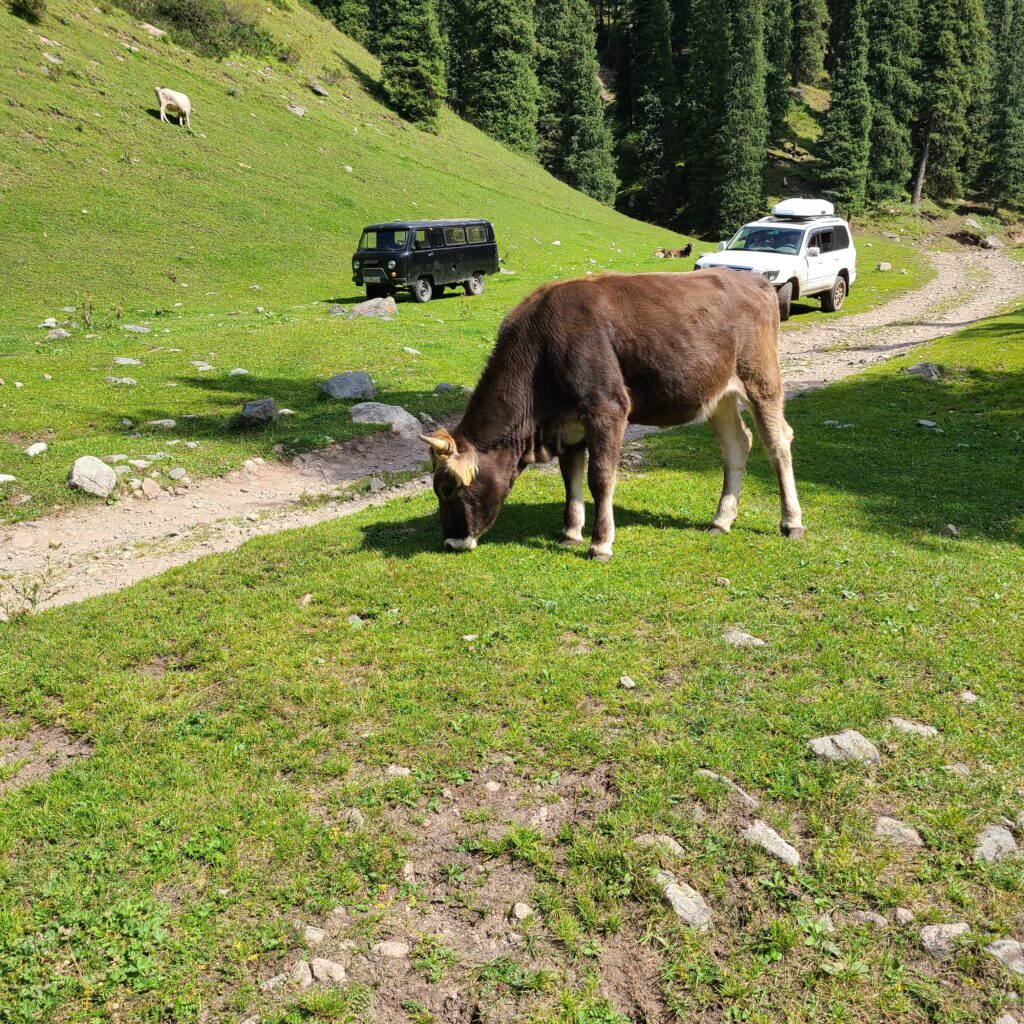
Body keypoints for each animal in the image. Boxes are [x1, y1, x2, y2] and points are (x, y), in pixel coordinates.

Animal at [419, 268, 802, 561]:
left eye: (448, 488)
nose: (451, 541)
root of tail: (754, 279)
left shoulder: (607, 409)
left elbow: (600, 479)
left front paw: (600, 544)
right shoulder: (567, 425)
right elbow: (570, 479)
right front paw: (571, 533)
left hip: (761, 379)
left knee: (778, 443)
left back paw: (791, 522)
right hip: (718, 394)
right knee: (738, 444)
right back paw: (721, 521)